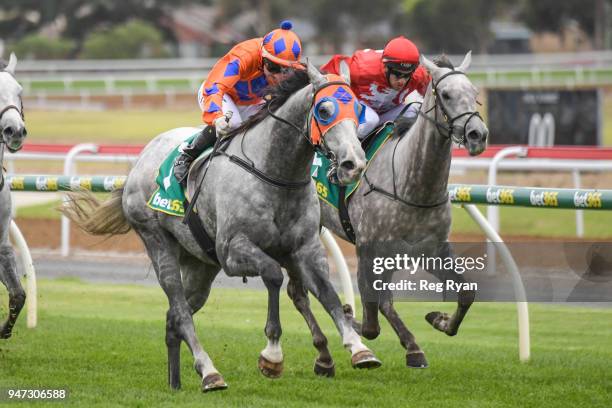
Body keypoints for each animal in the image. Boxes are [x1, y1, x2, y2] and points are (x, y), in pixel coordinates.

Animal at [61, 63, 378, 392]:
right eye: (325, 110)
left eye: (358, 109)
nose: (354, 164)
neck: (275, 174)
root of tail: (139, 162)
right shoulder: (233, 251)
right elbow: (273, 276)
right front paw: (272, 355)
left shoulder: (305, 248)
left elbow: (328, 293)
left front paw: (358, 347)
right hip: (158, 244)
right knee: (181, 311)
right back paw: (209, 372)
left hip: (200, 264)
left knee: (174, 316)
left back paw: (177, 381)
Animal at [320, 52, 488, 368]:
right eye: (446, 94)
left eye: (474, 93)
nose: (477, 135)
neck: (414, 187)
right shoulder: (369, 249)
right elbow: (372, 318)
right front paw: (354, 320)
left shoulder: (432, 250)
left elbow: (467, 292)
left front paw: (439, 321)